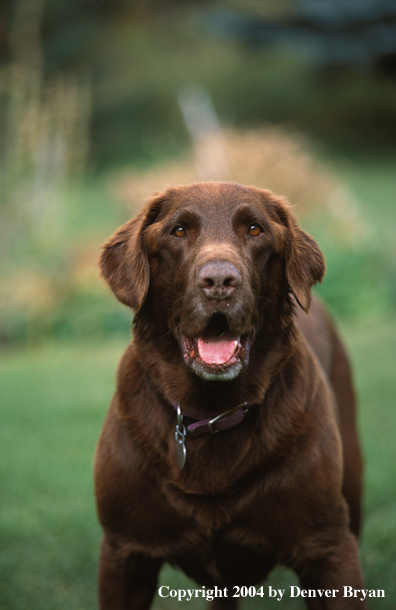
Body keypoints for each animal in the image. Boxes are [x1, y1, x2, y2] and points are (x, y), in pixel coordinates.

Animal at [95, 182, 366, 608]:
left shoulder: (330, 551)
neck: (212, 410)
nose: (220, 281)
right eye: (178, 231)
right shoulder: (123, 554)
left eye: (255, 230)